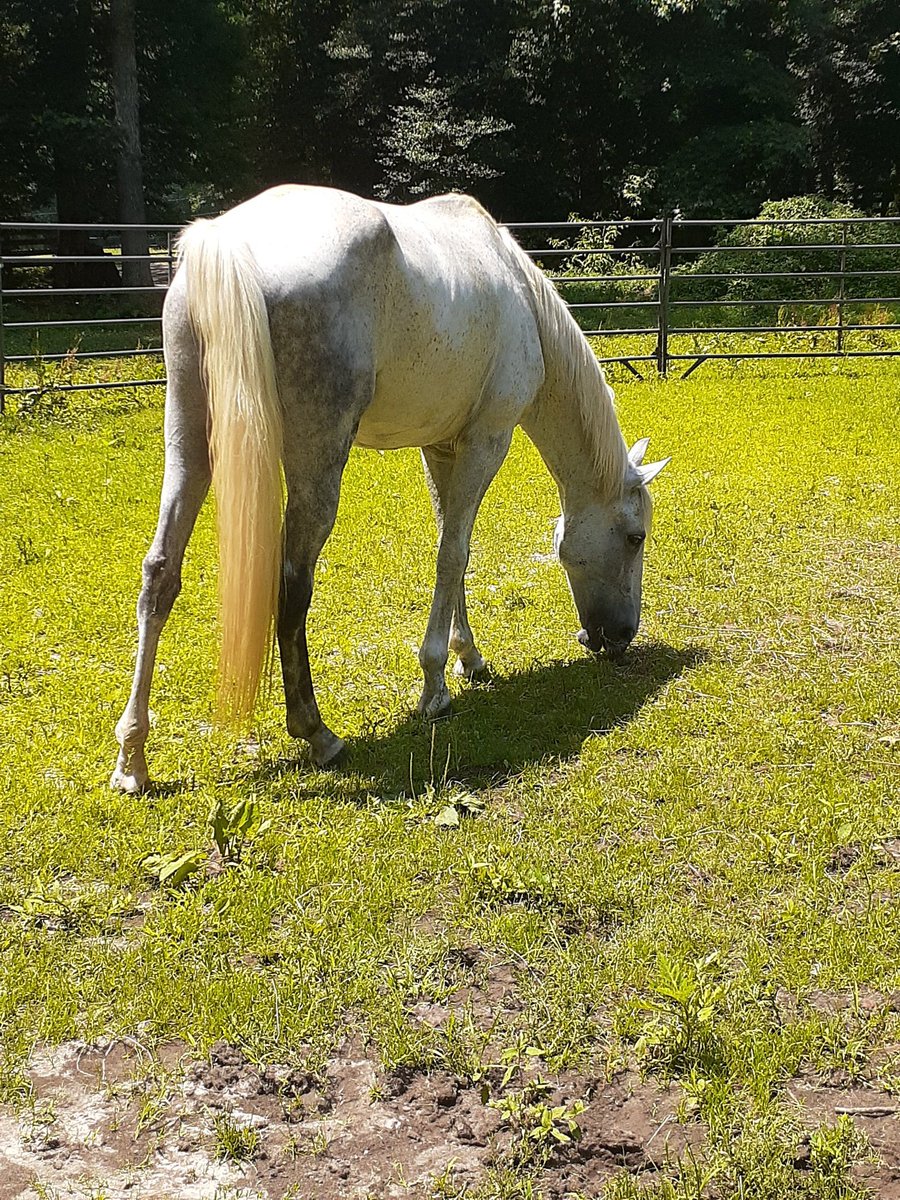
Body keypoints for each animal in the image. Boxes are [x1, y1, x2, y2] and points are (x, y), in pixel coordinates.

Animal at [111, 185, 669, 794]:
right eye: (636, 537)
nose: (620, 636)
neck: (519, 293)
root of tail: (229, 241)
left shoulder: (442, 447)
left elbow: (454, 546)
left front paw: (468, 658)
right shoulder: (487, 440)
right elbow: (453, 554)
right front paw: (434, 687)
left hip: (191, 444)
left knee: (160, 574)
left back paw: (132, 759)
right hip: (315, 462)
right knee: (292, 585)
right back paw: (318, 734)